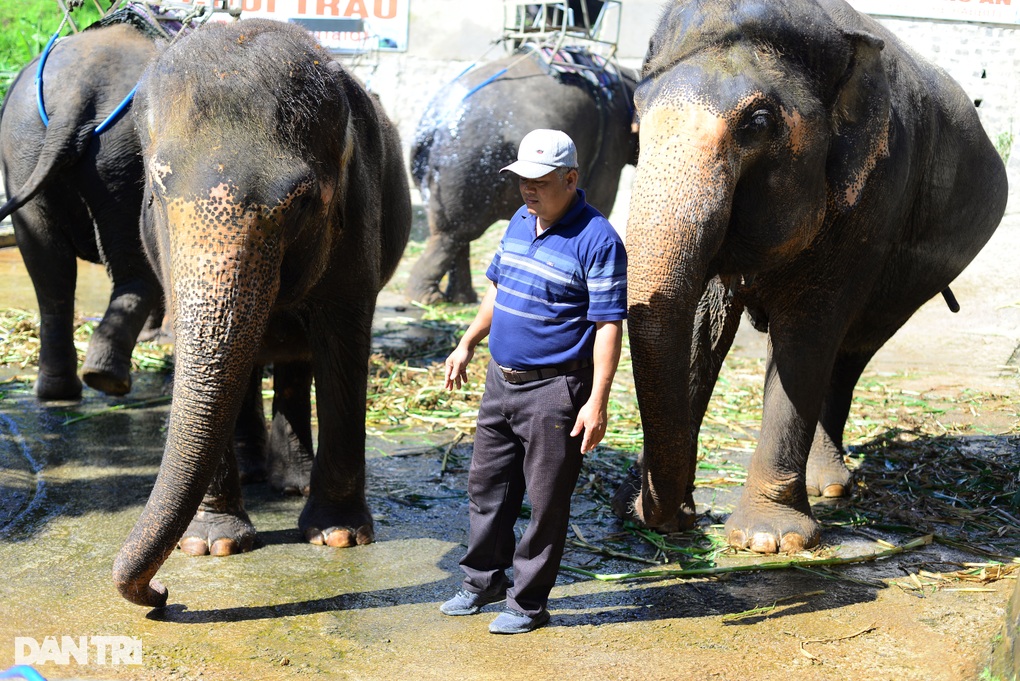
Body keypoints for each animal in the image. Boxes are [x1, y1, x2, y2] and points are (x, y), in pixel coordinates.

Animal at [0, 22, 163, 399]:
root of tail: (77, 92)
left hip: (22, 148)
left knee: (49, 270)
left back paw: (58, 391)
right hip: (125, 159)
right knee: (133, 264)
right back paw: (107, 380)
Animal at [113, 20, 412, 607]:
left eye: (302, 202)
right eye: (156, 191)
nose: (161, 592)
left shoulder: (358, 222)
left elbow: (343, 346)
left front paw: (339, 536)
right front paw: (213, 545)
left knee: (297, 362)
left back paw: (291, 482)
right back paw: (257, 473)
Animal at [405, 47, 636, 303]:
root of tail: (432, 124)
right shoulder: (611, 142)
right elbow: (602, 199)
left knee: (456, 234)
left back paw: (462, 299)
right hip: (466, 166)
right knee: (453, 233)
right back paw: (427, 299)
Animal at [607, 0, 1007, 554]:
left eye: (758, 122)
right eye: (637, 115)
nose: (681, 519)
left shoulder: (873, 194)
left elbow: (807, 333)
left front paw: (770, 540)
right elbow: (700, 329)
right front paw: (639, 508)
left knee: (852, 349)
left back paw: (829, 486)